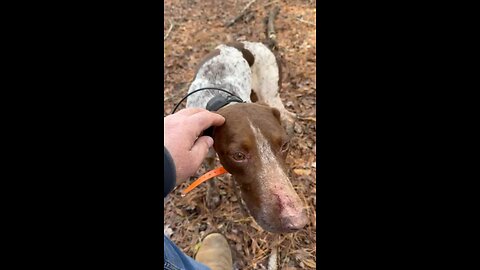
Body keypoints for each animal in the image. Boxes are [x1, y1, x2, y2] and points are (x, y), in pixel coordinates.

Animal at [186, 41, 306, 233]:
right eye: (238, 156)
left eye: (284, 146)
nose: (296, 221)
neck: (220, 99)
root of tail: (255, 43)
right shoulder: (206, 150)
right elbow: (209, 173)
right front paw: (213, 194)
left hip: (269, 93)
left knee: (288, 115)